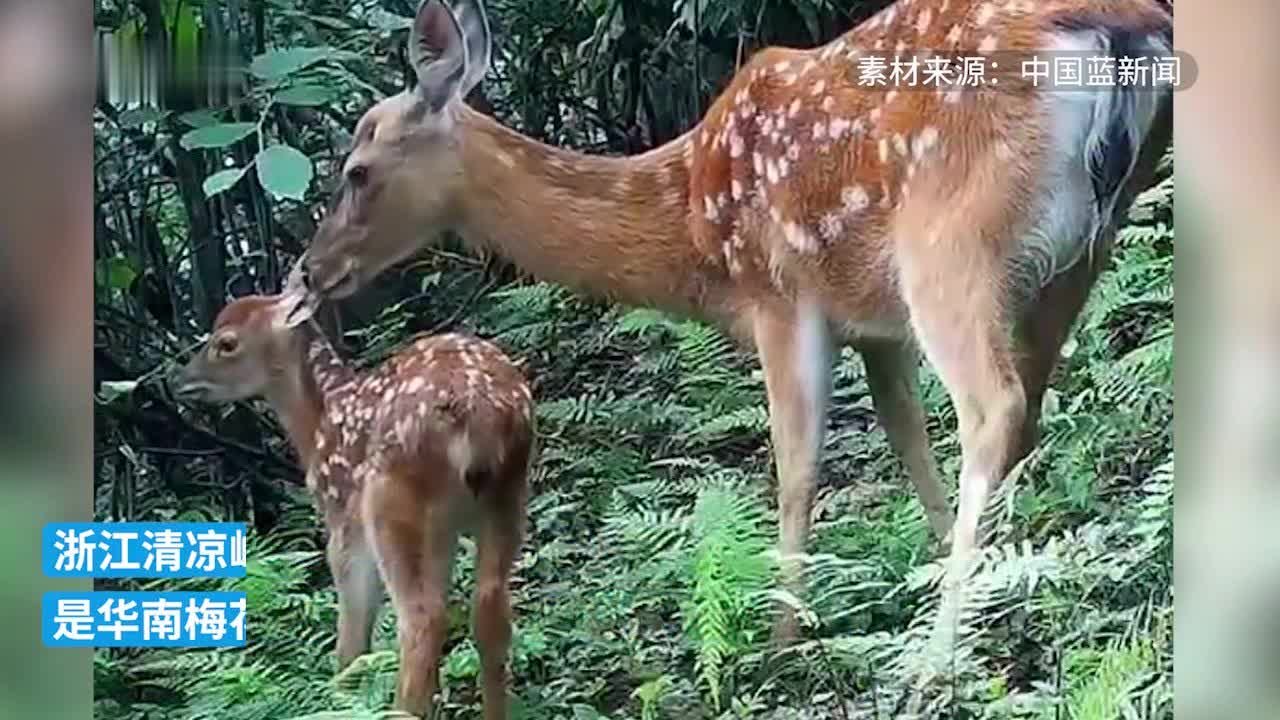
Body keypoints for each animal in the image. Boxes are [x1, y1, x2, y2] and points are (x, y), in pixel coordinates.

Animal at [170, 283, 529, 712]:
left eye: (226, 343)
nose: (182, 379)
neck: (318, 420)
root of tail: (476, 408)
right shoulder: (443, 529)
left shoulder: (341, 517)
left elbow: (351, 639)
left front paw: (340, 699)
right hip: (506, 493)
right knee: (489, 609)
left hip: (389, 502)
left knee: (421, 618)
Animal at [296, 0, 1172, 638]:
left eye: (356, 171)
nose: (308, 272)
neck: (691, 226)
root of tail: (1125, 29)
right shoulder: (873, 323)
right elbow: (907, 442)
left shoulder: (780, 295)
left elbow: (796, 472)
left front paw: (784, 644)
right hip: (1083, 243)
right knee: (1028, 407)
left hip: (950, 237)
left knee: (995, 408)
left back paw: (936, 658)